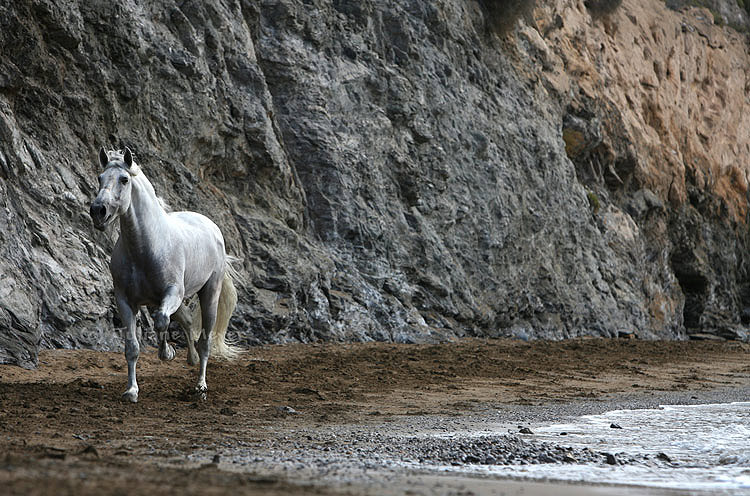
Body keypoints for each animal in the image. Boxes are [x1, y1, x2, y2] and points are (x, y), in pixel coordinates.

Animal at [90, 147, 241, 404]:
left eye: (124, 179)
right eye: (100, 178)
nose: (98, 211)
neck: (146, 247)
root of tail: (211, 227)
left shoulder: (172, 293)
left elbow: (161, 321)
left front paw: (167, 352)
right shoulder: (125, 301)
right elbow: (132, 347)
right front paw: (131, 391)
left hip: (210, 294)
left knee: (205, 341)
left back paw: (200, 385)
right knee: (187, 321)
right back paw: (189, 359)